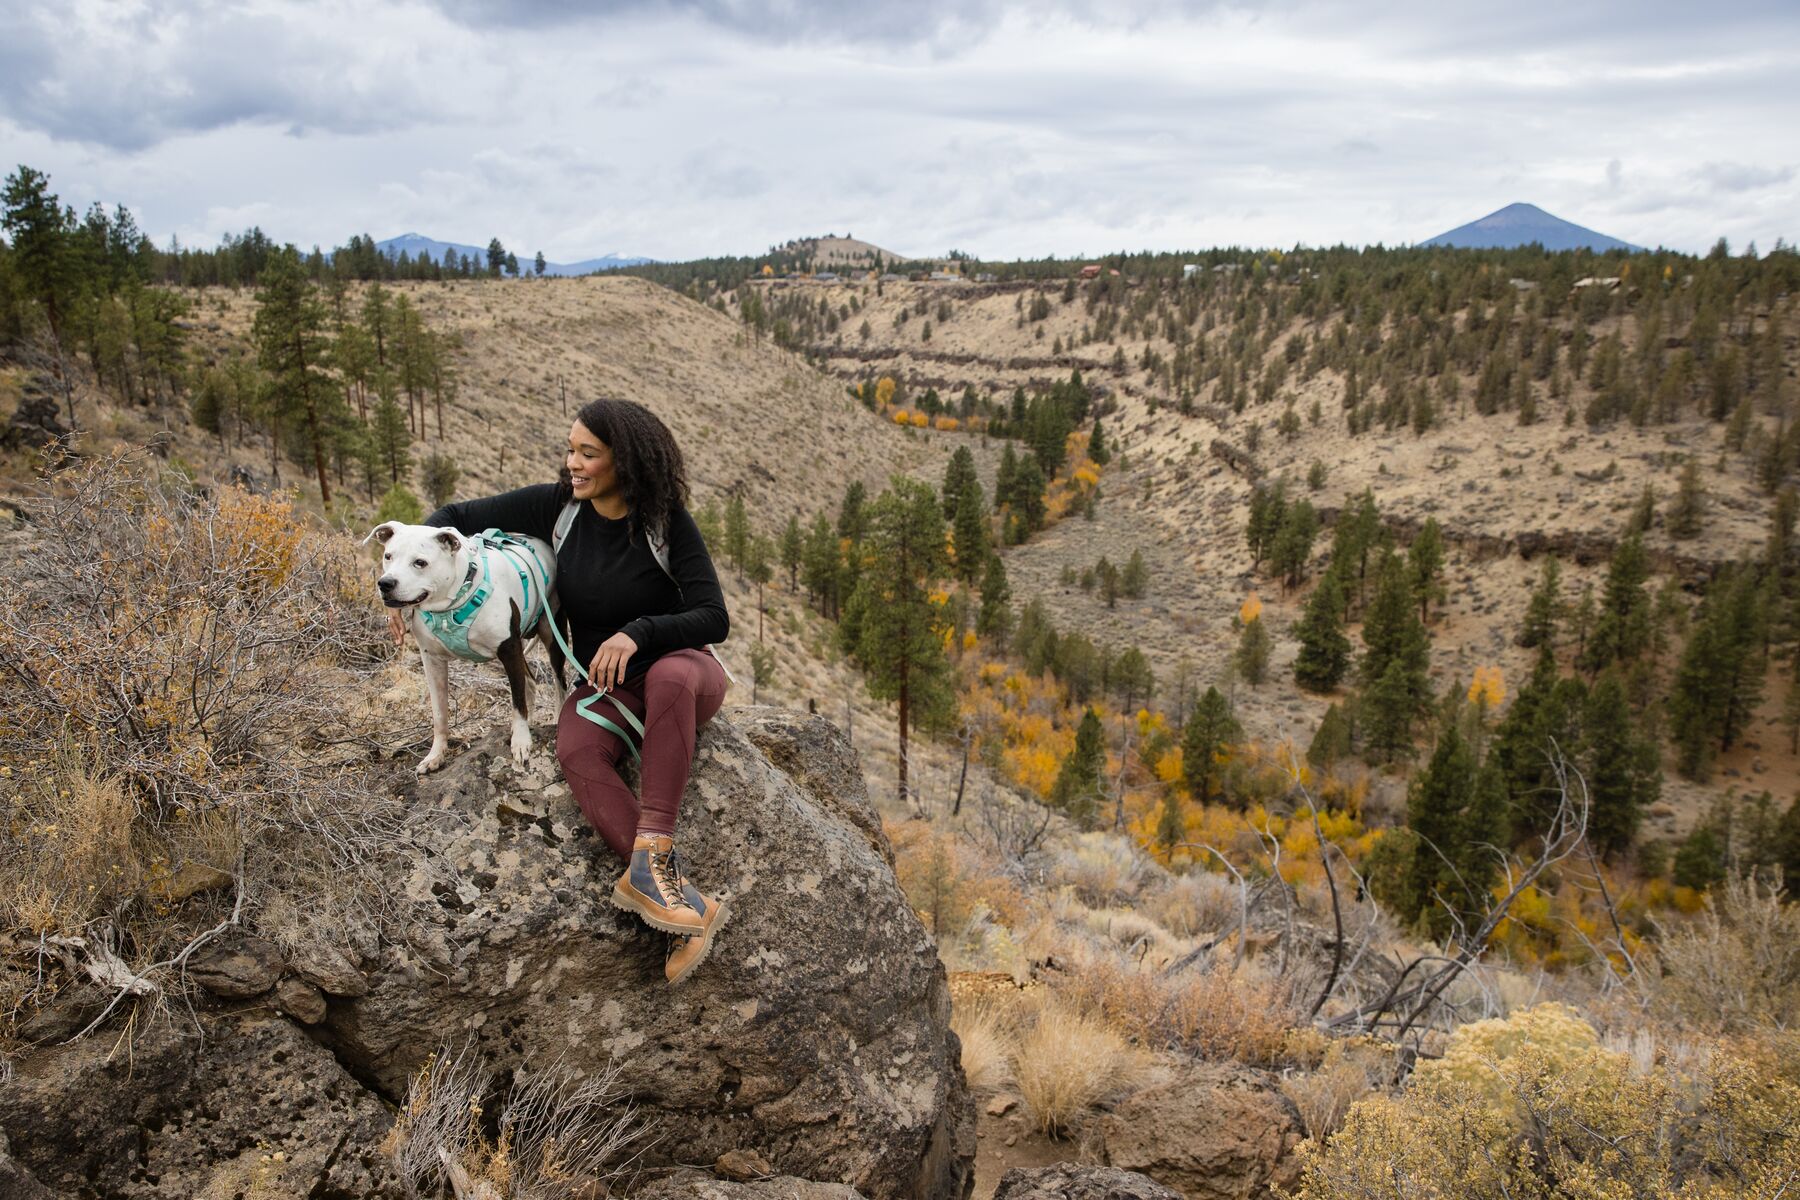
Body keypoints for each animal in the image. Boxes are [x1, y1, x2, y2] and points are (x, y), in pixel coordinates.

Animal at [363, 521, 561, 770]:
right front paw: (435, 755)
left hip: (551, 634)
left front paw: (521, 742)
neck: (450, 606)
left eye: (420, 562)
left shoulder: (509, 650)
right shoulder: (431, 660)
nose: (385, 583)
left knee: (559, 684)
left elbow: (517, 703)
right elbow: (439, 715)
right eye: (388, 556)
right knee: (530, 680)